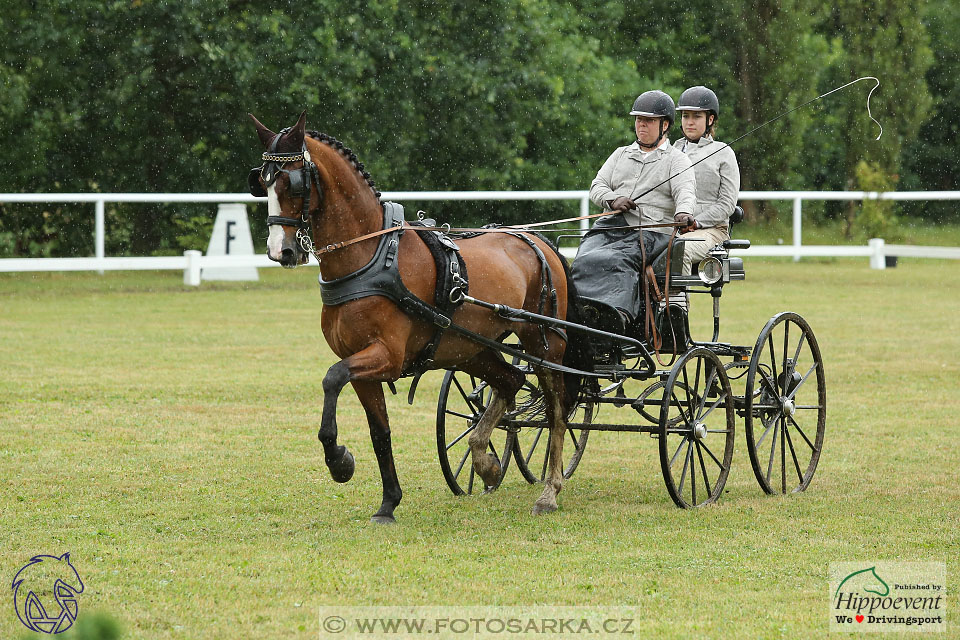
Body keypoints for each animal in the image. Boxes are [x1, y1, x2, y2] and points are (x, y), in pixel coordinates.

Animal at [248, 112, 588, 524]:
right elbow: (380, 432)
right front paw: (388, 502)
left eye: (293, 182)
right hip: (469, 348)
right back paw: (485, 462)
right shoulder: (363, 365)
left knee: (557, 410)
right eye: (261, 182)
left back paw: (549, 490)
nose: (279, 251)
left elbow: (332, 378)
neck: (372, 257)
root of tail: (540, 242)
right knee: (510, 382)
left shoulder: (387, 356)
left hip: (544, 344)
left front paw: (339, 461)